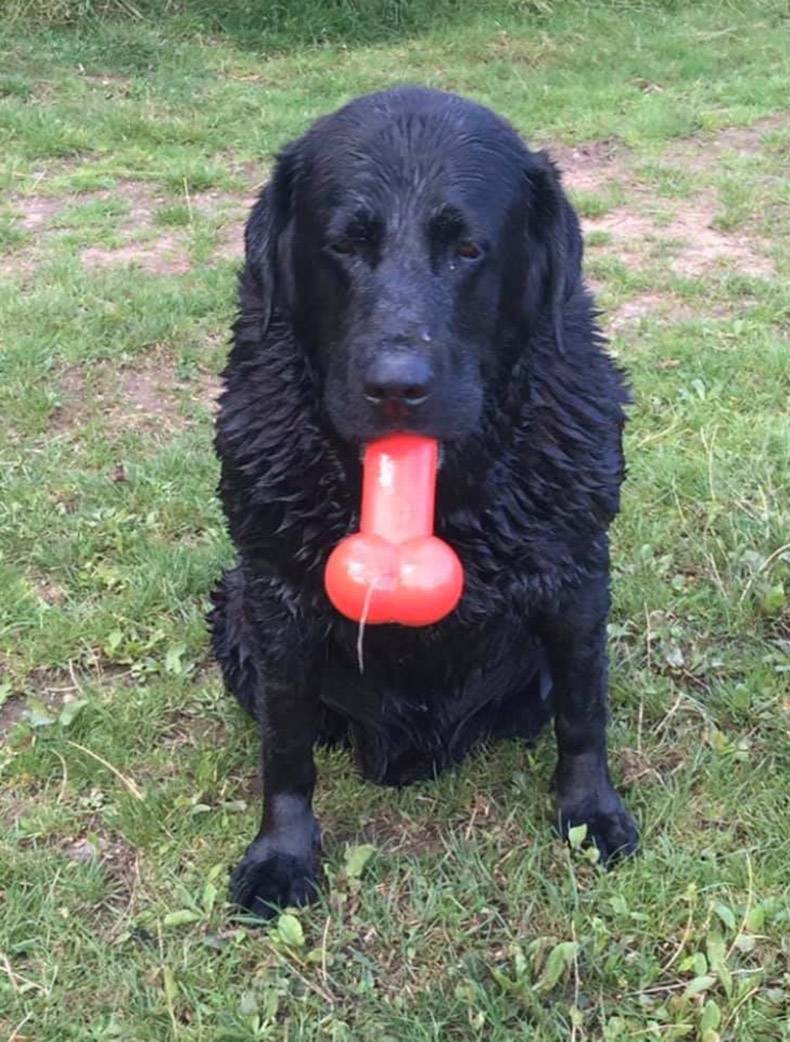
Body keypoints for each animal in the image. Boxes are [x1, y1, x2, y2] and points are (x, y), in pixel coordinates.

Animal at [208, 89, 637, 921]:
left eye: (468, 248)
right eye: (344, 244)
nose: (396, 388)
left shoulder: (576, 577)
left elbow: (583, 712)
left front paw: (590, 813)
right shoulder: (275, 598)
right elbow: (285, 749)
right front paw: (281, 854)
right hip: (230, 611)